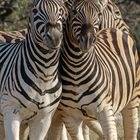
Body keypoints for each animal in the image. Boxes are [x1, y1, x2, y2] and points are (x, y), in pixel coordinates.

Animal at [0, 0, 68, 139]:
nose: (54, 37)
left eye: (61, 10)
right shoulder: (11, 110)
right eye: (35, 10)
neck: (44, 74)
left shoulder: (44, 119)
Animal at [57, 0, 140, 139]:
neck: (76, 68)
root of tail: (112, 30)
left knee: (131, 131)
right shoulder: (69, 116)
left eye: (99, 14)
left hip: (133, 100)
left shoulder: (105, 110)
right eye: (74, 12)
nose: (88, 40)